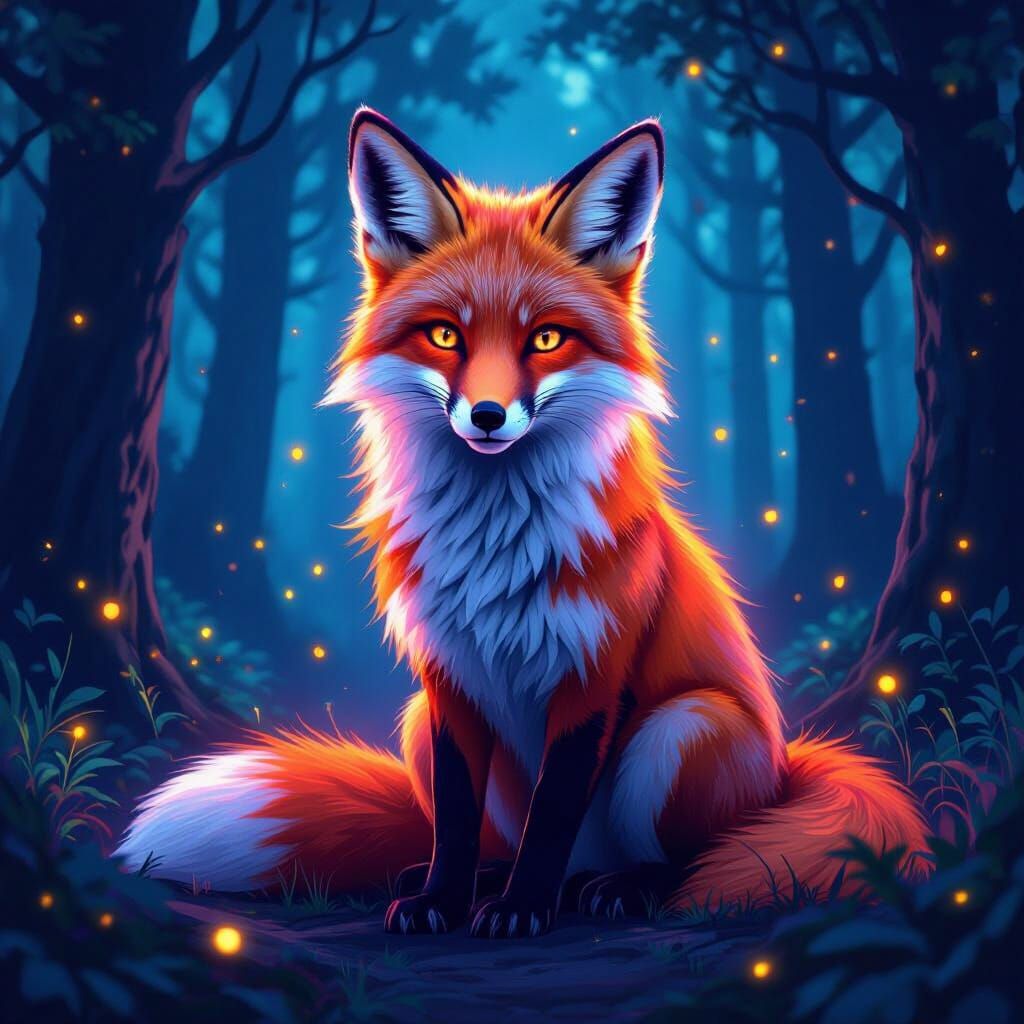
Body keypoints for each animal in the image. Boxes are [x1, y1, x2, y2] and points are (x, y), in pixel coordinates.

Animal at [117, 108, 929, 938]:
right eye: (446, 335)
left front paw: (521, 908)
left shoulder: (594, 678)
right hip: (414, 720)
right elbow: (454, 815)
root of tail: (788, 768)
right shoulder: (447, 679)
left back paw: (611, 888)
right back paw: (482, 880)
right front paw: (442, 900)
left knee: (695, 858)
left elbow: (555, 811)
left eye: (546, 338)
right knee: (493, 838)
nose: (486, 415)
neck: (494, 545)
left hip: (682, 728)